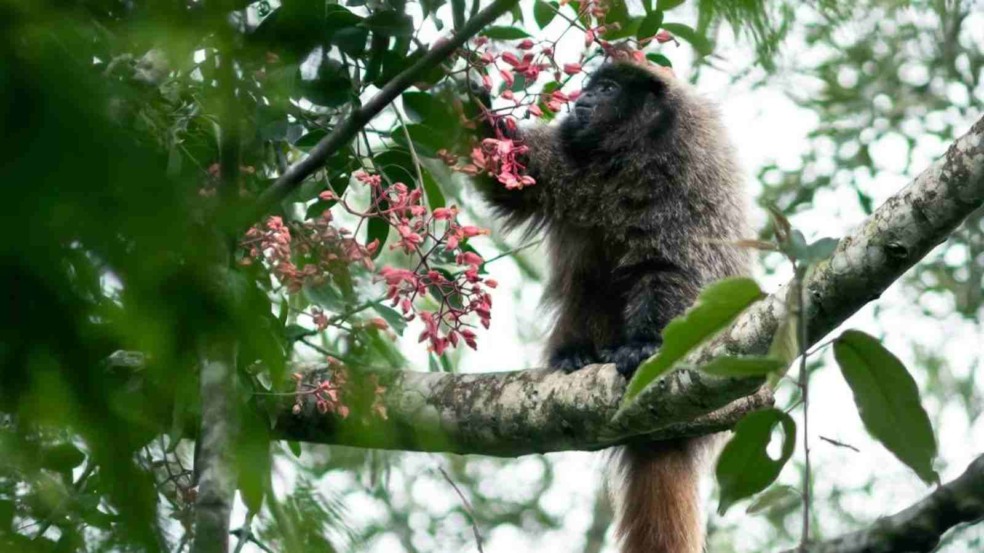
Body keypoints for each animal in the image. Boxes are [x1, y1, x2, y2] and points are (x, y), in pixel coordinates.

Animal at [469, 60, 749, 553]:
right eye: (589, 86)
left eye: (608, 89)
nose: (582, 99)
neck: (625, 159)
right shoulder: (568, 160)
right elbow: (512, 180)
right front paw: (470, 104)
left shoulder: (686, 172)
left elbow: (669, 267)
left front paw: (644, 345)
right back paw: (576, 353)